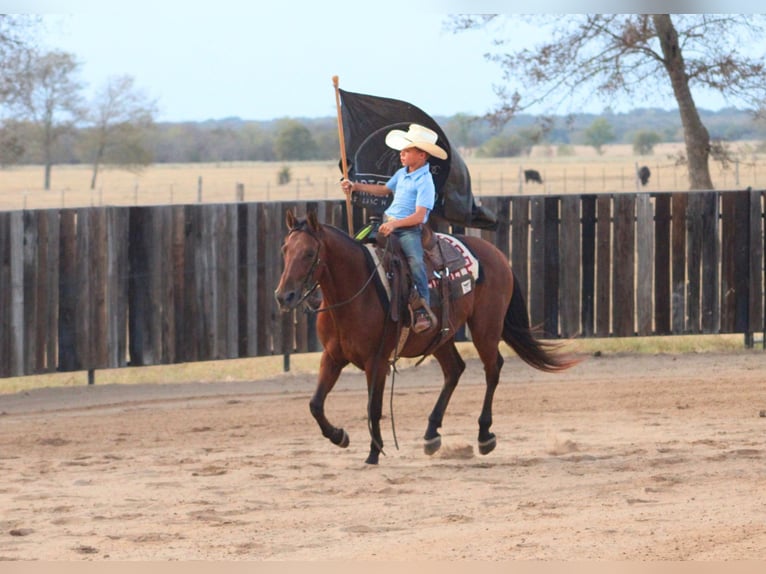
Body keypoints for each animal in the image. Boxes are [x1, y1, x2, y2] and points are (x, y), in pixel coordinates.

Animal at [274, 210, 578, 465]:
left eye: (309, 253)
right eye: (285, 250)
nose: (283, 296)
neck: (357, 290)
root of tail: (497, 254)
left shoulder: (378, 361)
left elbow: (373, 407)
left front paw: (374, 453)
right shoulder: (332, 357)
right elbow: (315, 404)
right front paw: (340, 436)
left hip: (485, 327)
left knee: (492, 370)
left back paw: (484, 436)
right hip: (440, 336)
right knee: (455, 370)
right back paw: (432, 434)